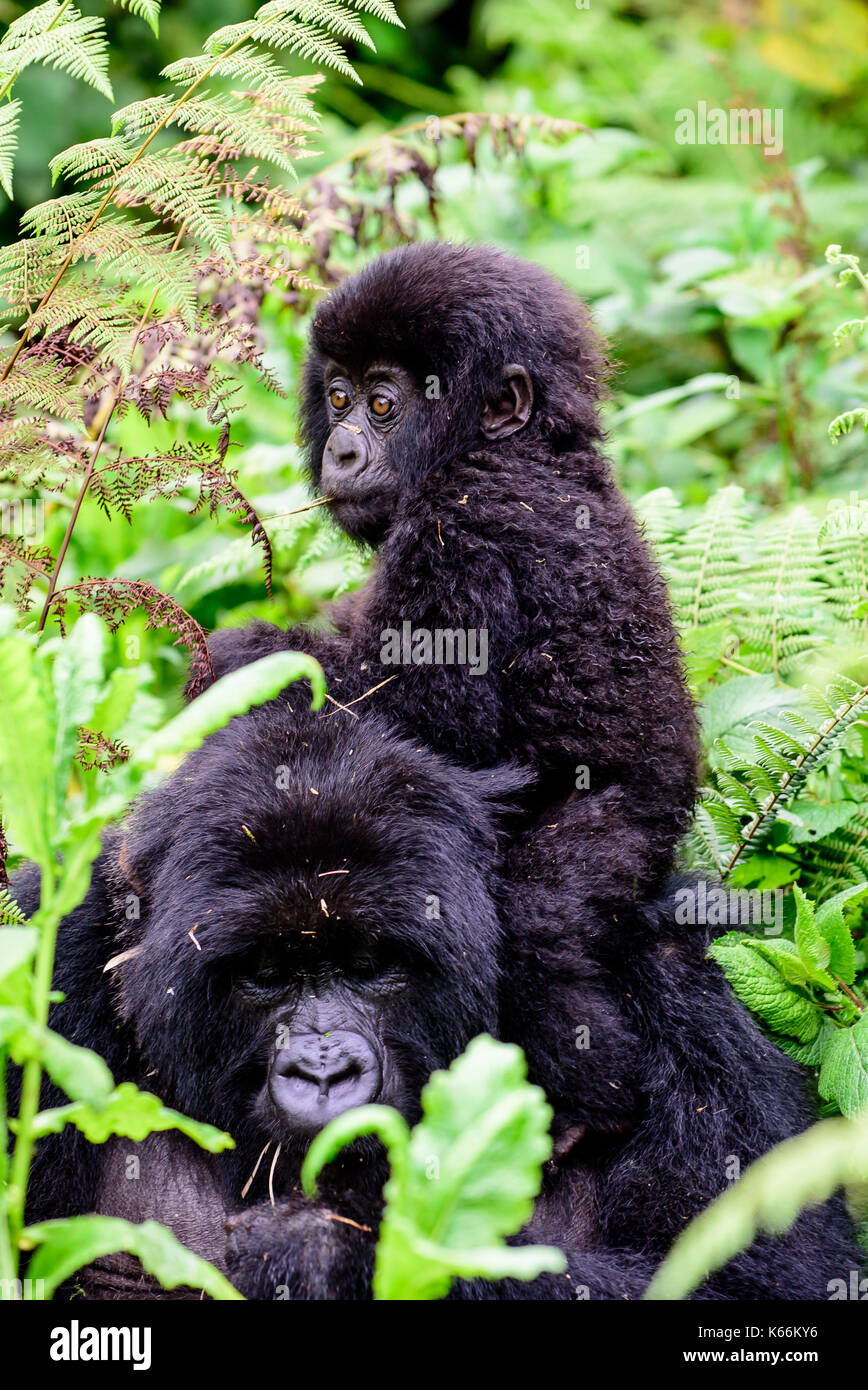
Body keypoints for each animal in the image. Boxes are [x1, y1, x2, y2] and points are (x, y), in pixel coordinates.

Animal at [8, 706, 862, 1301]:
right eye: (267, 973)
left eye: (373, 964)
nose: (325, 1075)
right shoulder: (53, 947)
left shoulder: (656, 973)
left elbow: (768, 1275)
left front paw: (326, 1256)